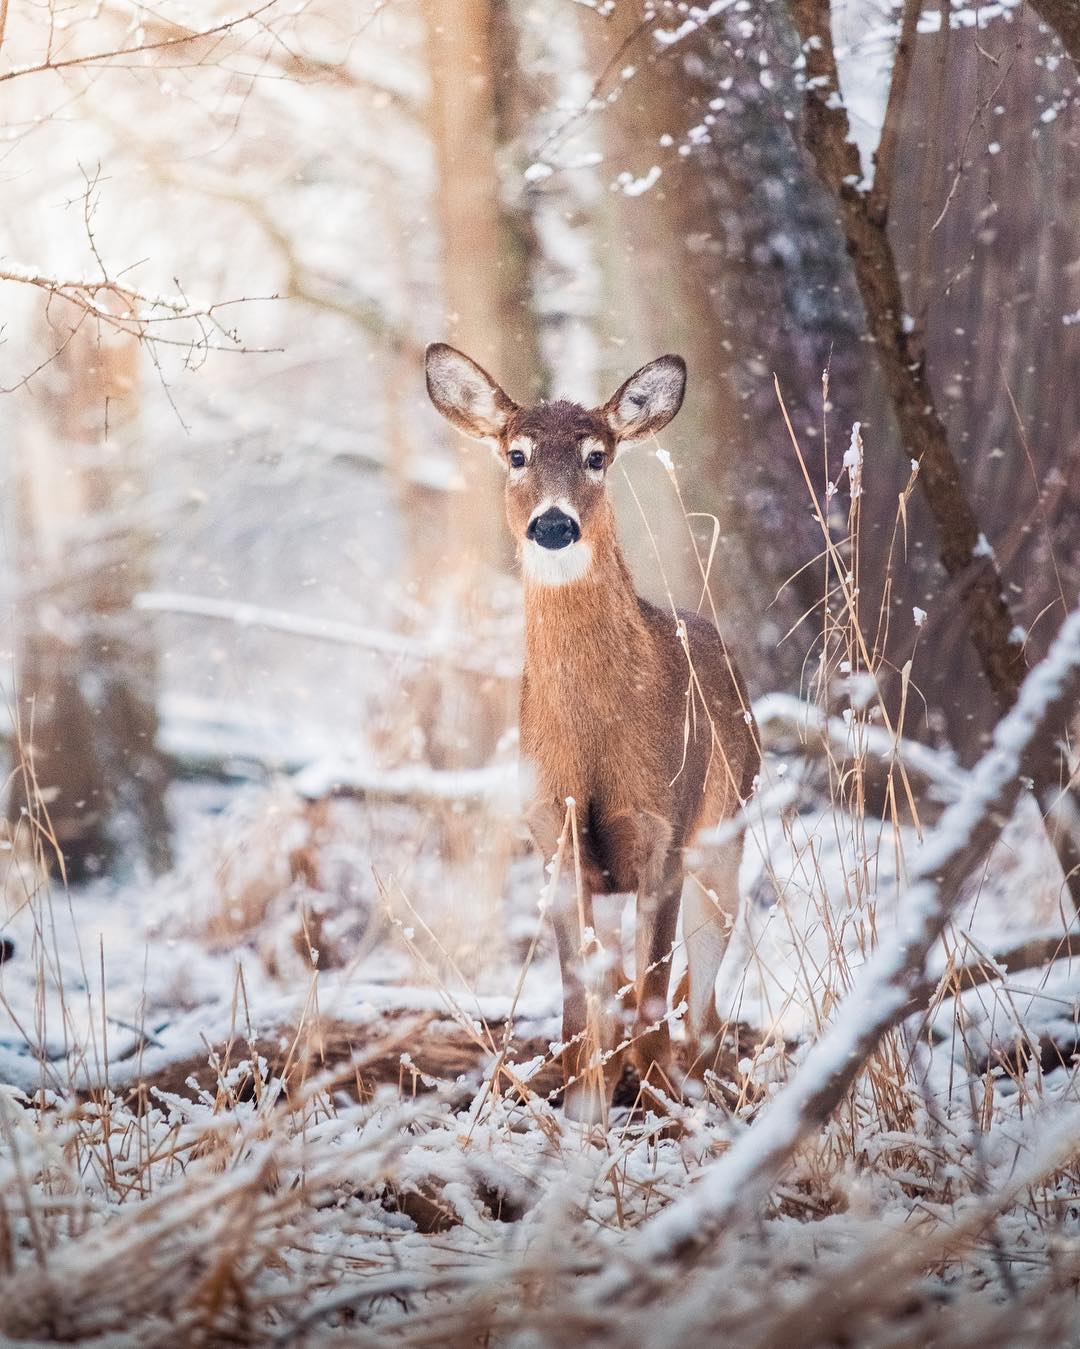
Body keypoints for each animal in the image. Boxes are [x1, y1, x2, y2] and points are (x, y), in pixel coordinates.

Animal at [423, 342, 760, 1122]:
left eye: (596, 455)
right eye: (515, 453)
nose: (553, 525)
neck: (596, 742)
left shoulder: (664, 830)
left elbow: (655, 996)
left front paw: (662, 1107)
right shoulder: (556, 835)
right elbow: (582, 1006)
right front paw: (585, 1114)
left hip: (724, 837)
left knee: (703, 991)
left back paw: (701, 1081)